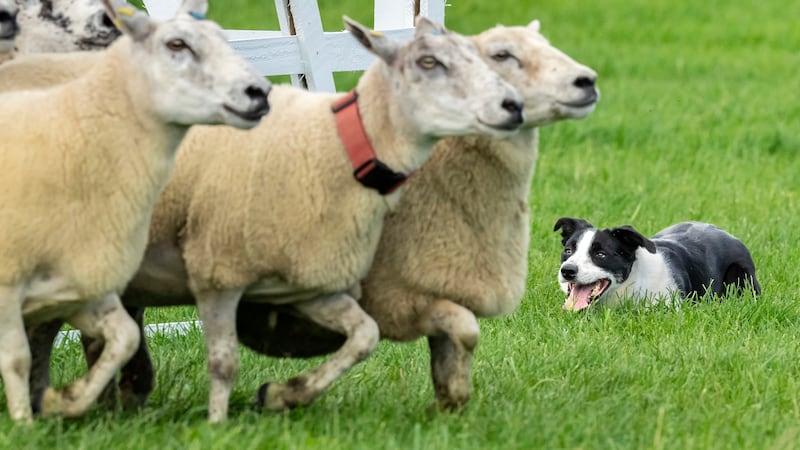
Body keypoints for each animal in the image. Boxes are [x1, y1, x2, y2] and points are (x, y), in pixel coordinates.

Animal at [231, 20, 600, 410]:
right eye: (501, 54)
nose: (586, 81)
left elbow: (461, 333)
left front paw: (448, 403)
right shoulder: (377, 292)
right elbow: (374, 335)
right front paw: (280, 394)